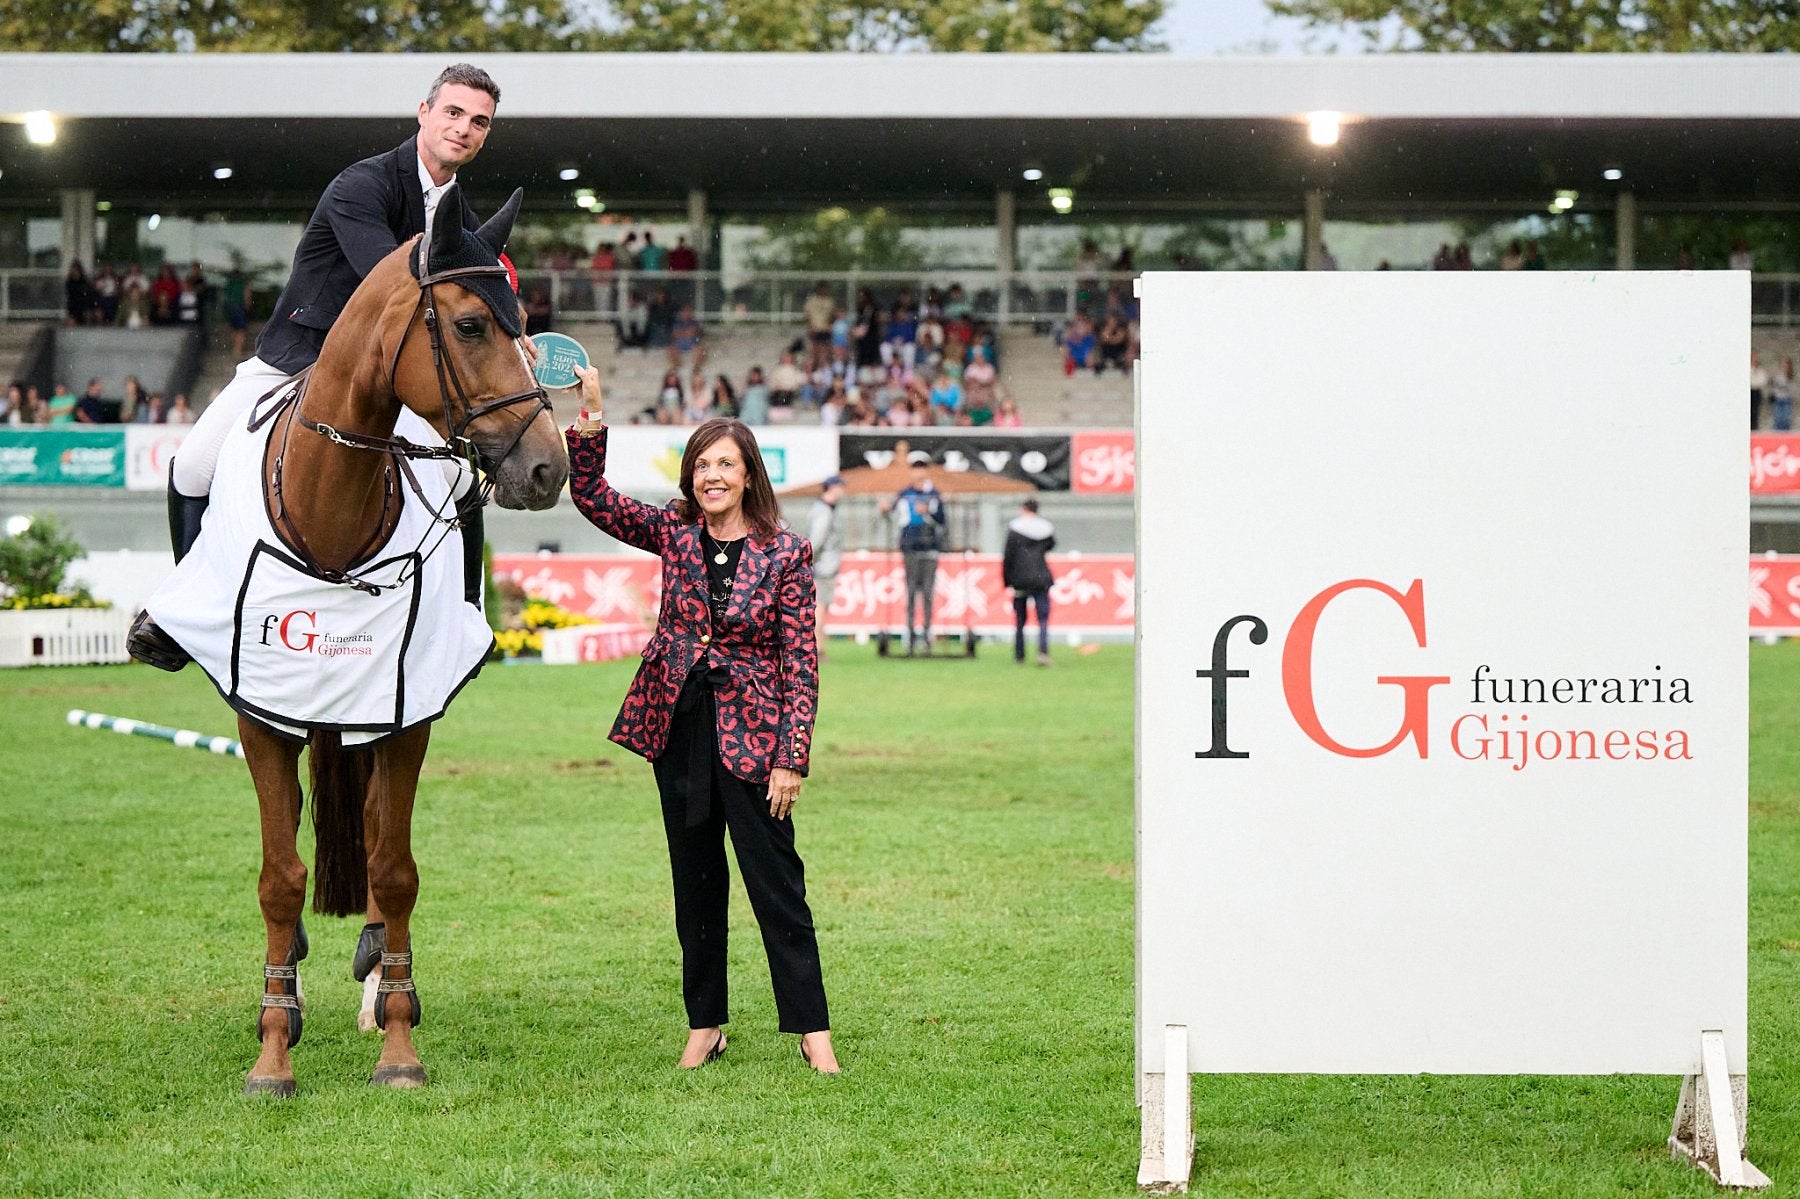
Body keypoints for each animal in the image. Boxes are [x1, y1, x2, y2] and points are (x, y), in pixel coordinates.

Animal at [237, 187, 561, 1094]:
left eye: (526, 326)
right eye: (472, 326)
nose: (549, 468)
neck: (330, 517)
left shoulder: (405, 715)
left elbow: (395, 866)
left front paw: (399, 1041)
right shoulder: (260, 714)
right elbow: (281, 877)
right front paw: (273, 1047)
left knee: (381, 832)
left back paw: (378, 975)